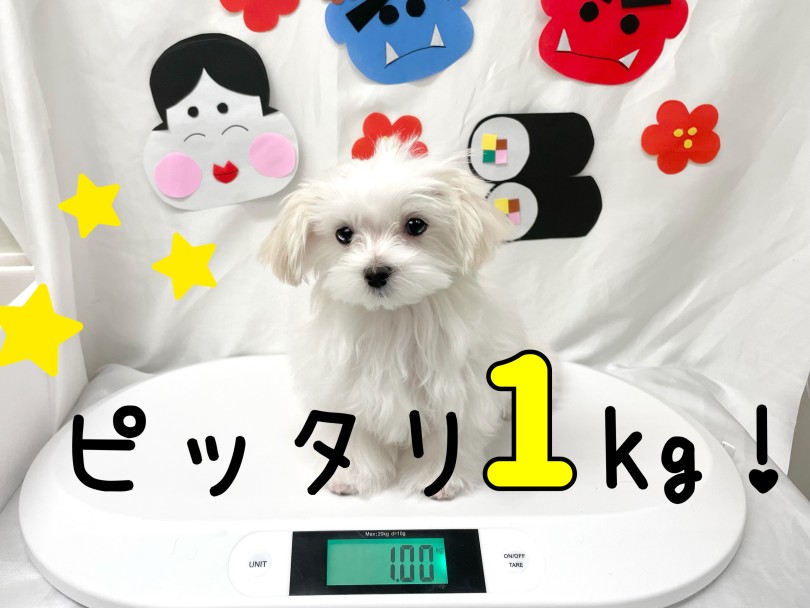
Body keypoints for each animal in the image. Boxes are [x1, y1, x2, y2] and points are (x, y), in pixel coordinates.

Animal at [261, 139, 527, 500]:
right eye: (344, 234)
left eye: (416, 225)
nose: (375, 273)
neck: (394, 318)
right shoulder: (347, 386)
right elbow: (354, 431)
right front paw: (352, 476)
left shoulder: (454, 386)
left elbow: (447, 434)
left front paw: (438, 479)